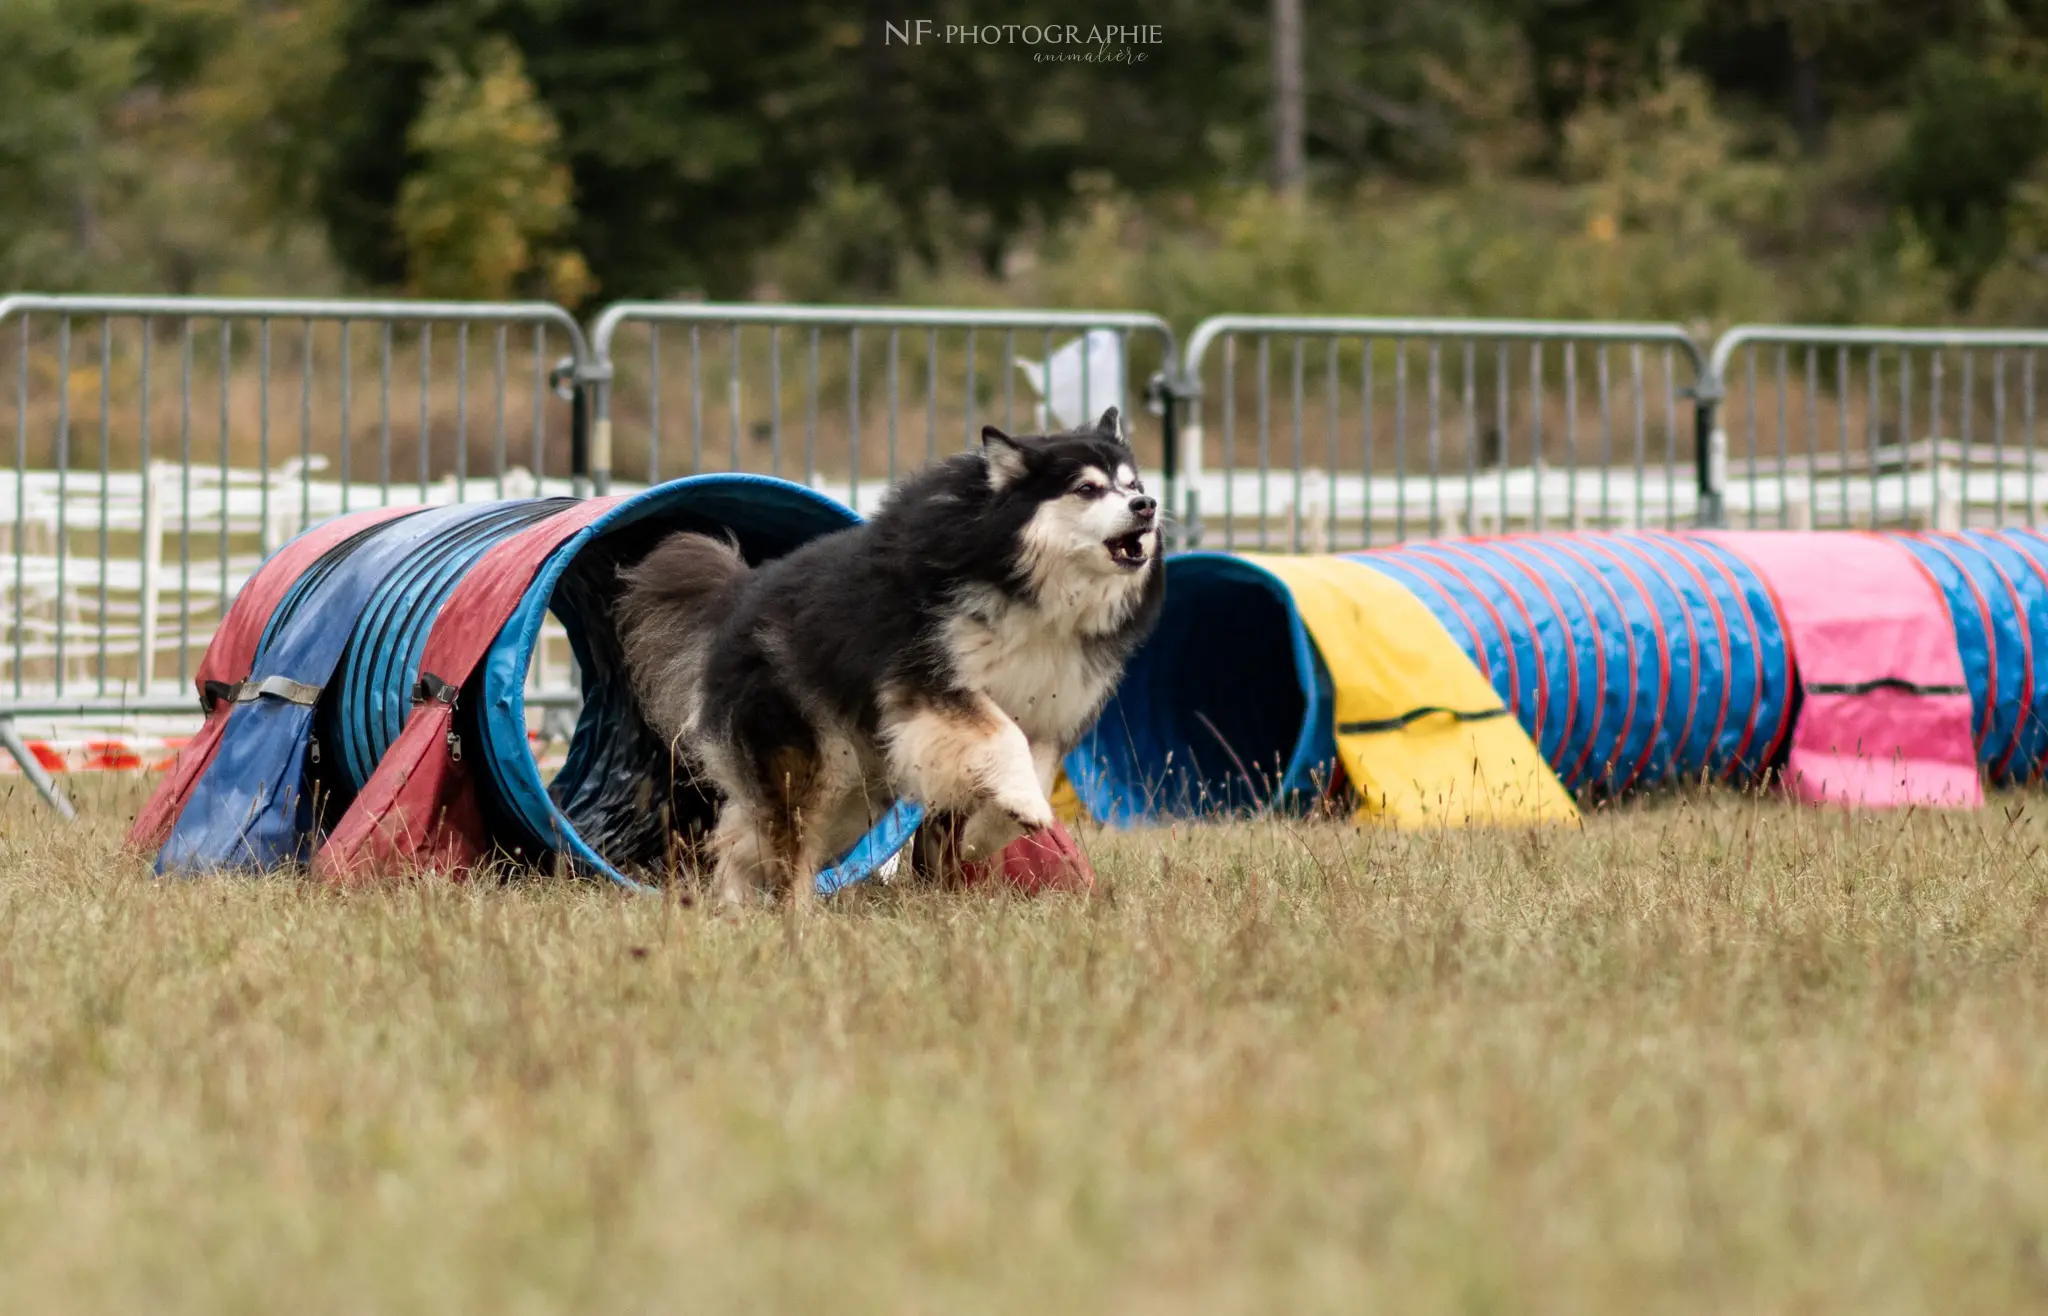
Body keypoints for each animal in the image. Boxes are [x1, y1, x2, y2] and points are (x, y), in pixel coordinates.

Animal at [618, 409, 1171, 904]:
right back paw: (795, 916)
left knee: (742, 840)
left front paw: (996, 827)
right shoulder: (928, 679)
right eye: (1087, 489)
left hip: (853, 790)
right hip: (808, 760)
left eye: (1133, 483)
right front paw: (1022, 806)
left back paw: (736, 909)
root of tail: (739, 594)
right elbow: (1002, 737)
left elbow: (1031, 765)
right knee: (785, 842)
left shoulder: (1050, 702)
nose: (1147, 504)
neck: (1022, 580)